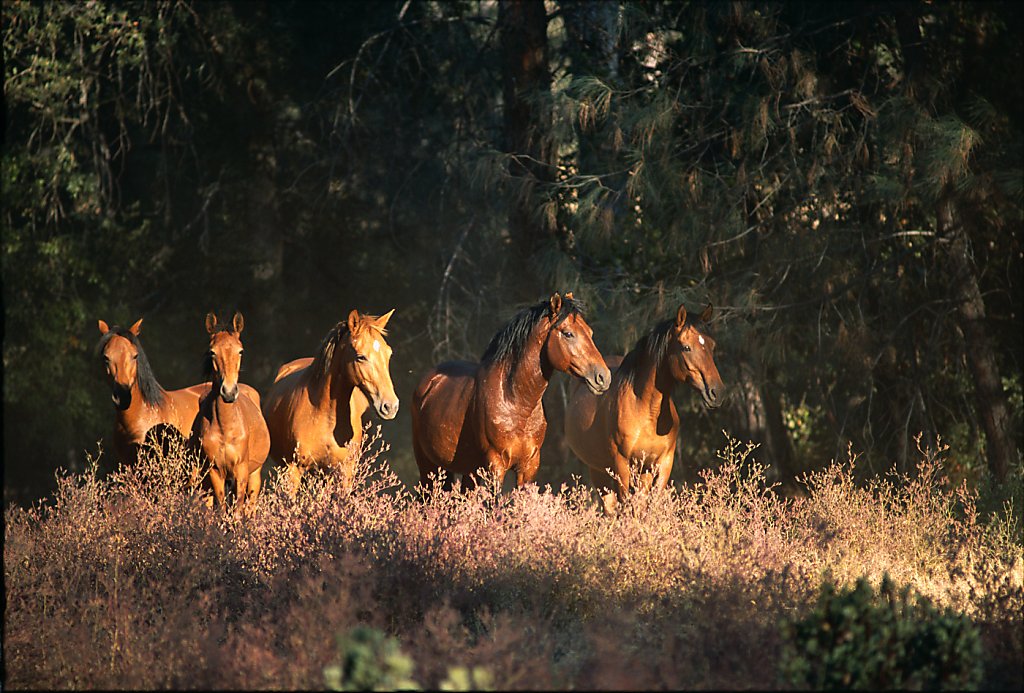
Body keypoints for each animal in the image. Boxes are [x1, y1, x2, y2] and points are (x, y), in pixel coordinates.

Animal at [190, 312, 270, 515]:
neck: (226, 427)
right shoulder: (215, 471)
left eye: (240, 351)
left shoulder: (241, 471)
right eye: (212, 352)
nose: (228, 392)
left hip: (254, 475)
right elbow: (221, 506)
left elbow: (238, 510)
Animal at [263, 308, 399, 491]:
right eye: (361, 357)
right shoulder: (293, 470)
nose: (390, 406)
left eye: (388, 354)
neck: (324, 413)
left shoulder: (344, 472)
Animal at [412, 292, 611, 491]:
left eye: (590, 332)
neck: (517, 403)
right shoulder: (495, 465)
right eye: (568, 333)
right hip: (428, 465)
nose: (603, 377)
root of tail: (430, 381)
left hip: (469, 470)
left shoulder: (528, 467)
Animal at [564, 303, 725, 515]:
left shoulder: (662, 464)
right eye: (686, 347)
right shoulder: (622, 465)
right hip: (599, 471)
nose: (716, 392)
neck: (647, 411)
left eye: (712, 346)